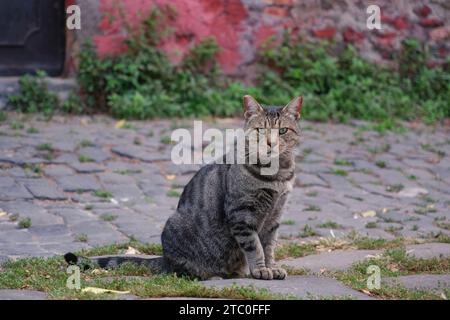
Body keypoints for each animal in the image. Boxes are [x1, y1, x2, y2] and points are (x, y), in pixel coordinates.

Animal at [65, 95, 304, 280]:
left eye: (282, 131)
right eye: (260, 130)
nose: (271, 143)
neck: (277, 175)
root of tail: (164, 258)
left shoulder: (274, 216)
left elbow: (269, 247)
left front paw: (272, 268)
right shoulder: (242, 214)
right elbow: (255, 247)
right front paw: (261, 270)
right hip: (176, 228)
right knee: (181, 271)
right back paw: (212, 275)